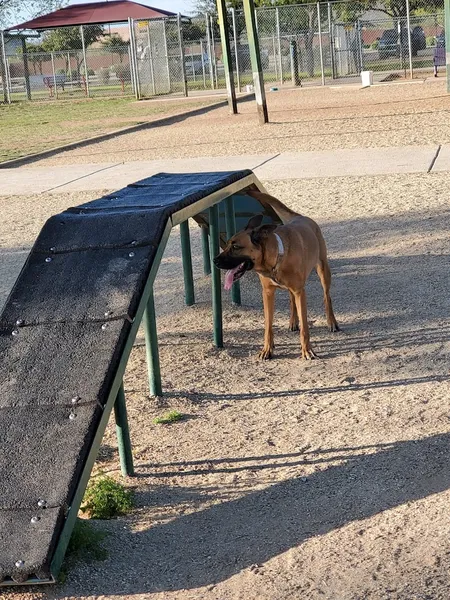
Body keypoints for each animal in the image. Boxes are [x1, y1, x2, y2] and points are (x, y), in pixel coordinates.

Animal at [214, 190, 338, 360]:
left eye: (236, 247)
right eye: (226, 245)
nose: (214, 260)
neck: (276, 258)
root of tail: (300, 216)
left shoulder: (300, 292)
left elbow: (305, 328)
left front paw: (307, 350)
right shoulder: (267, 293)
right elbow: (268, 325)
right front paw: (267, 349)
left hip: (323, 269)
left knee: (327, 297)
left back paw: (331, 322)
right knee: (292, 300)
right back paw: (293, 321)